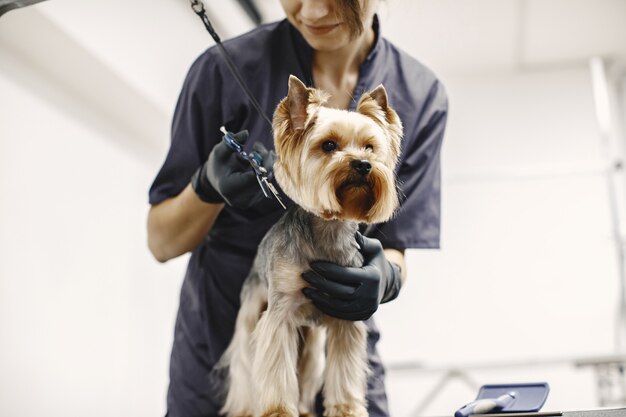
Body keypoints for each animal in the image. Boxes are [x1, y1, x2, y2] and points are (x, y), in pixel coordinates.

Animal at [219, 75, 402, 416]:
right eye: (328, 145)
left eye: (370, 147)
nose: (363, 164)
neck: (328, 230)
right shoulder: (279, 314)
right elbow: (277, 365)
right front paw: (278, 410)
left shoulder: (347, 318)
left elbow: (344, 367)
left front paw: (346, 408)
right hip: (251, 316)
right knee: (245, 367)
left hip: (312, 342)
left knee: (308, 373)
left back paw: (304, 408)